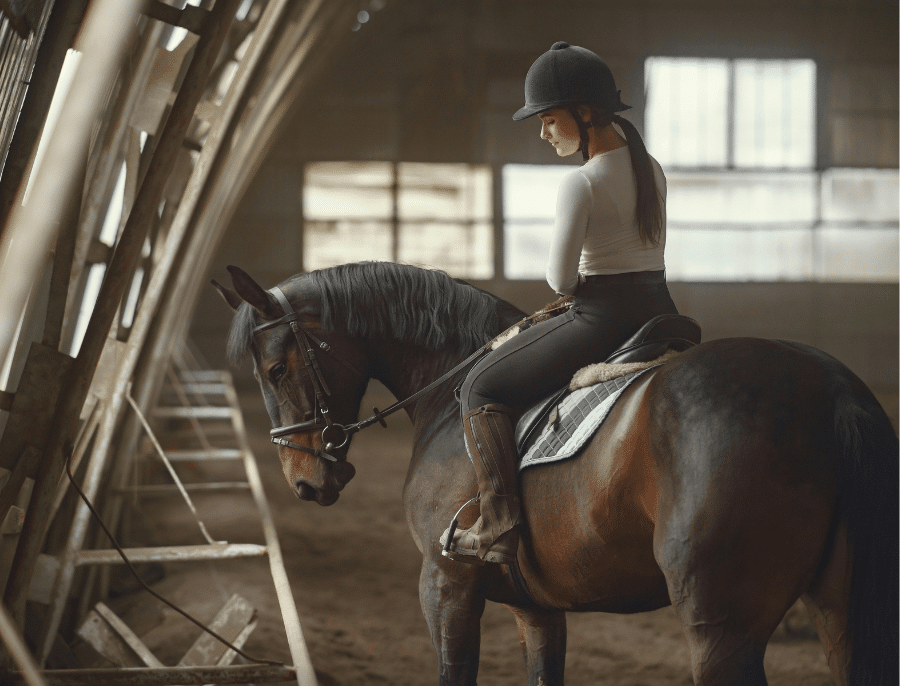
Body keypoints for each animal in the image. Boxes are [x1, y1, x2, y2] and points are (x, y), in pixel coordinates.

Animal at [214, 264, 896, 686]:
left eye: (276, 369)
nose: (304, 481)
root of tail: (828, 385)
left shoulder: (446, 584)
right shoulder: (534, 609)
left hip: (719, 624)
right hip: (837, 611)